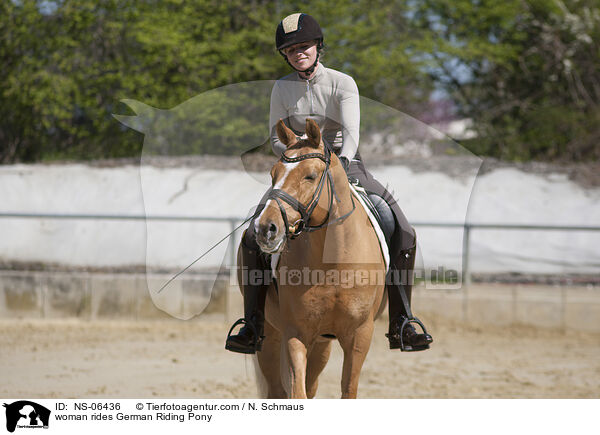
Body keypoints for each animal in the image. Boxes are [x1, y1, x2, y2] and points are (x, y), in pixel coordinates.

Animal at [237, 118, 386, 398]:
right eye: (273, 174)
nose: (265, 228)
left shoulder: (359, 335)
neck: (333, 263)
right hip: (271, 334)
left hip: (322, 343)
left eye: (310, 176)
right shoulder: (296, 333)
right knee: (277, 389)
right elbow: (298, 391)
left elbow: (347, 389)